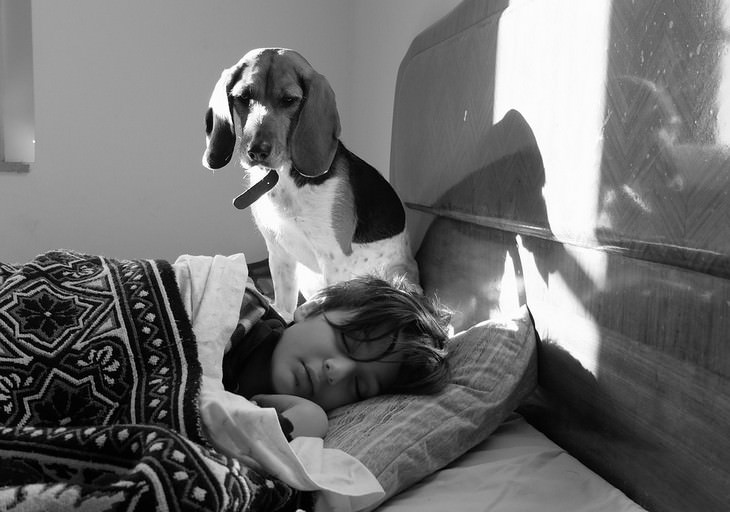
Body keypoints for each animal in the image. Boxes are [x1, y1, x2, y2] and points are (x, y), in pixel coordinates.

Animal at [202, 49, 418, 320]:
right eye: (243, 97)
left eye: (289, 100)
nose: (256, 151)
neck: (283, 177)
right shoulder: (279, 252)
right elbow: (284, 306)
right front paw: (279, 313)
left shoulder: (333, 259)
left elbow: (310, 306)